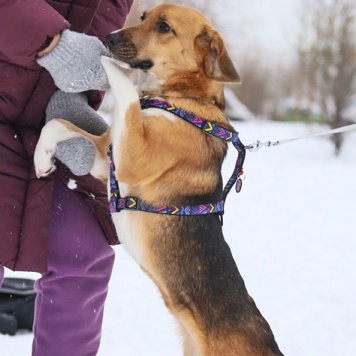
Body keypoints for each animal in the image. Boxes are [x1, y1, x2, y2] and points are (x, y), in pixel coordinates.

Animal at [33, 3, 284, 356]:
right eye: (143, 16)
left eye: (163, 26)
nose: (109, 37)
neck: (183, 98)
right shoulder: (107, 159)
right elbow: (57, 124)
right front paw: (42, 157)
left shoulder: (131, 159)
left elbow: (124, 90)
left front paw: (104, 62)